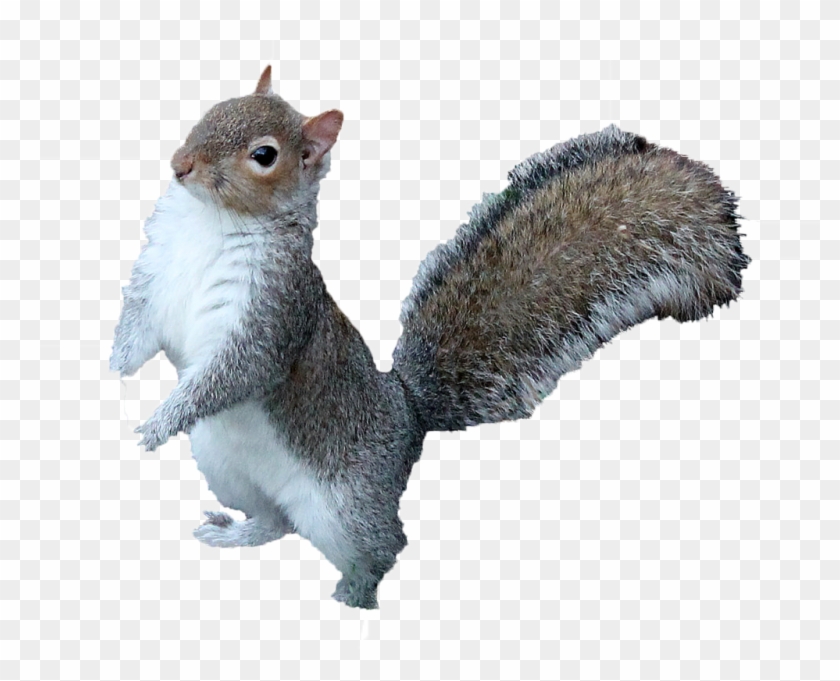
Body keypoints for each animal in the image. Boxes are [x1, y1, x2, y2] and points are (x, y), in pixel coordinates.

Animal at [110, 66, 750, 609]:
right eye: (214, 108)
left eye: (263, 156)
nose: (180, 164)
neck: (210, 224)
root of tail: (408, 416)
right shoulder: (156, 282)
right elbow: (140, 329)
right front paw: (116, 369)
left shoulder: (275, 312)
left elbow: (235, 371)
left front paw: (160, 421)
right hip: (226, 469)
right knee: (275, 521)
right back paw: (237, 536)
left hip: (347, 509)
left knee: (380, 548)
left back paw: (351, 598)